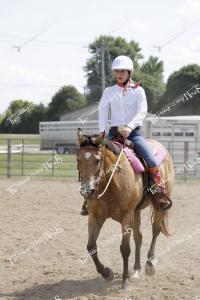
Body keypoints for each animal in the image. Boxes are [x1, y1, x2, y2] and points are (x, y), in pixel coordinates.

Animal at [76, 127, 173, 288]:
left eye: (97, 160)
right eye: (78, 160)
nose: (87, 191)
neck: (111, 183)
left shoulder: (127, 216)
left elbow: (125, 248)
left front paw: (125, 280)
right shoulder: (95, 216)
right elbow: (91, 247)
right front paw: (106, 273)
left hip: (159, 207)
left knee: (155, 231)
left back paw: (150, 264)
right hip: (136, 211)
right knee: (139, 237)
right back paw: (136, 269)